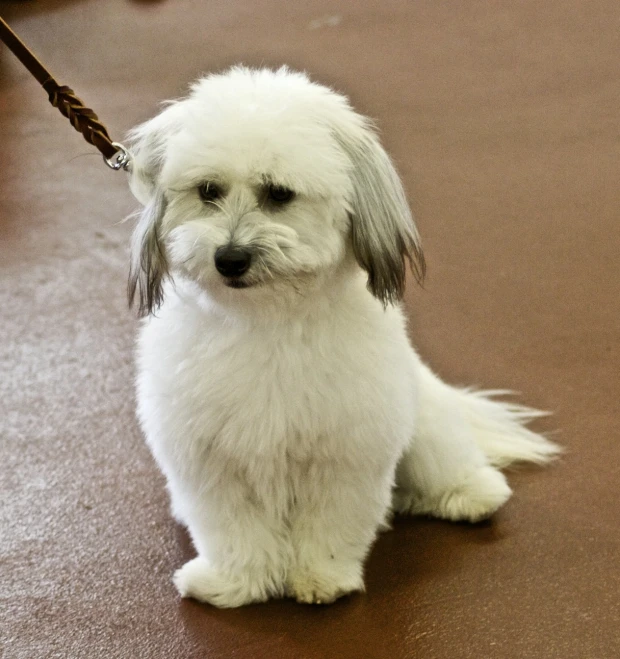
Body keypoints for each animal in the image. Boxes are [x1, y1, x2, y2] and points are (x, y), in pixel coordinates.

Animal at [124, 67, 556, 608]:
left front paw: (320, 579)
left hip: (426, 427)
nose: (230, 258)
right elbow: (235, 532)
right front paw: (236, 582)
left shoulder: (345, 454)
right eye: (208, 190)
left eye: (279, 194)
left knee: (453, 467)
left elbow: (330, 526)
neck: (266, 321)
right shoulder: (211, 461)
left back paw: (470, 495)